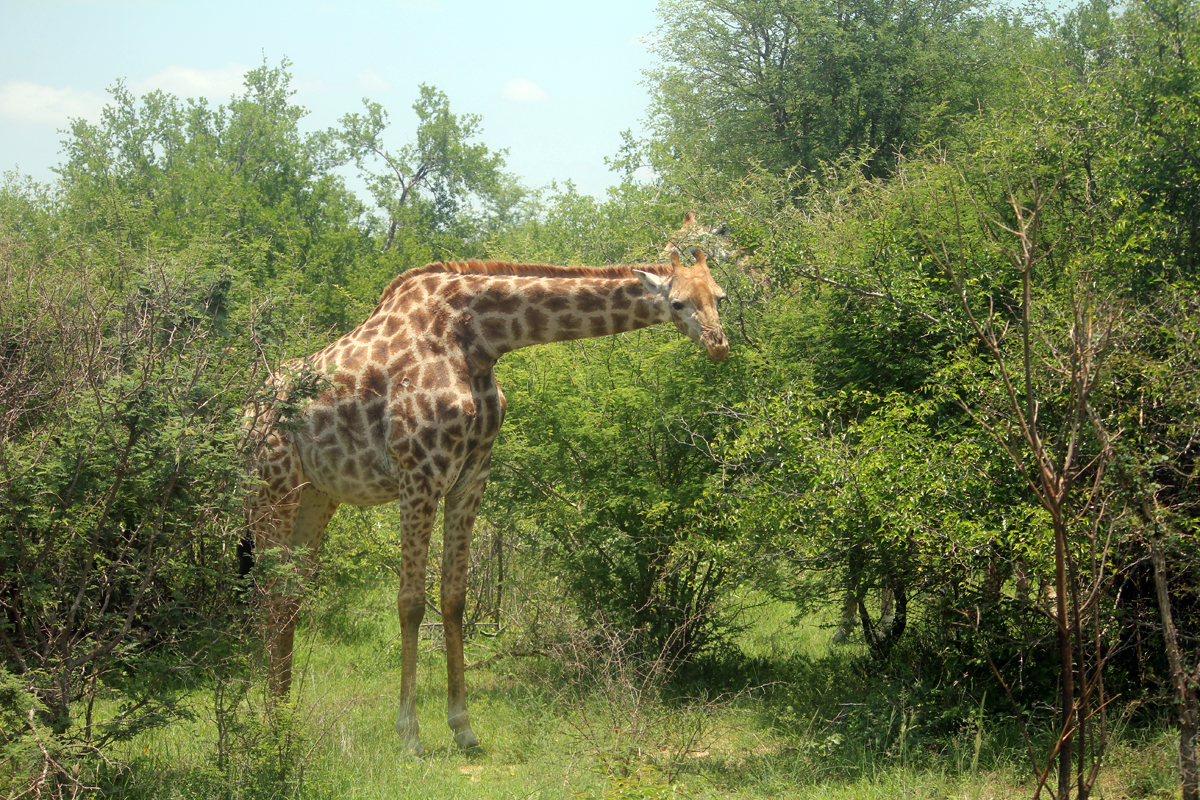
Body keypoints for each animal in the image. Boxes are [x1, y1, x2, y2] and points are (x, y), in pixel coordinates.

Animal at [247, 247, 724, 753]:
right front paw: (409, 734)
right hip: (271, 488)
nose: (719, 344)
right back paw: (267, 720)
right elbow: (411, 602)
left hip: (315, 496)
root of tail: (243, 411)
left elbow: (453, 597)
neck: (478, 340)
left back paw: (284, 714)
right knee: (267, 591)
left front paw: (462, 727)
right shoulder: (418, 474)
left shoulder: (471, 477)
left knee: (288, 595)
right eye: (677, 303)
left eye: (720, 296)